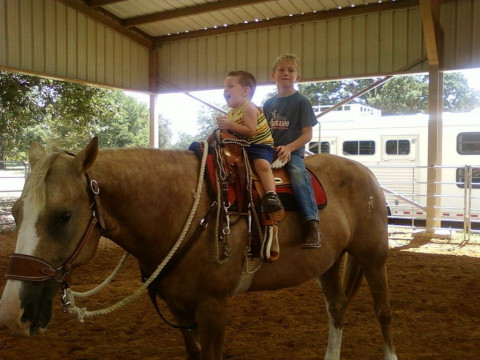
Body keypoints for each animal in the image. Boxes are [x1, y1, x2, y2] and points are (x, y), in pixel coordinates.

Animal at [0, 138, 398, 360]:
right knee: (337, 309)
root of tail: (367, 174)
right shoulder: (178, 306)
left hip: (374, 257)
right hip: (329, 263)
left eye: (64, 215)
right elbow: (192, 353)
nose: (12, 315)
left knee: (383, 312)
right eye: (15, 212)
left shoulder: (213, 308)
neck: (179, 210)